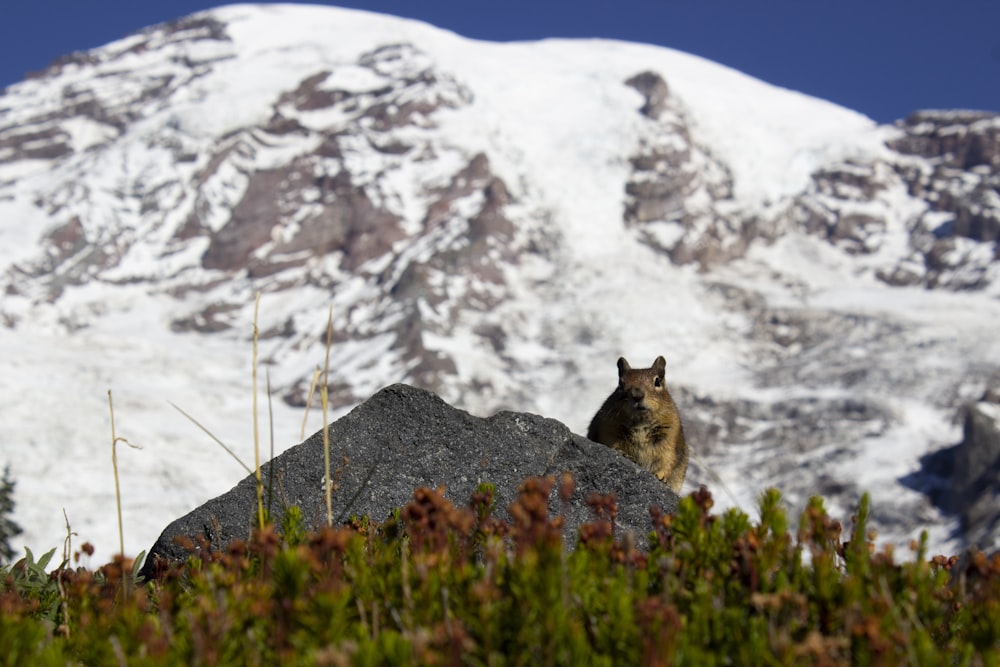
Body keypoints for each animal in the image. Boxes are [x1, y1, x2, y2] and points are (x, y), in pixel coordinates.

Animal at [584, 358, 688, 494]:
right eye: (620, 383)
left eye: (657, 381)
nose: (637, 395)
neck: (641, 422)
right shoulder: (609, 428)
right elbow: (612, 444)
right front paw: (623, 454)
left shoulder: (669, 435)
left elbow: (667, 459)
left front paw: (661, 476)